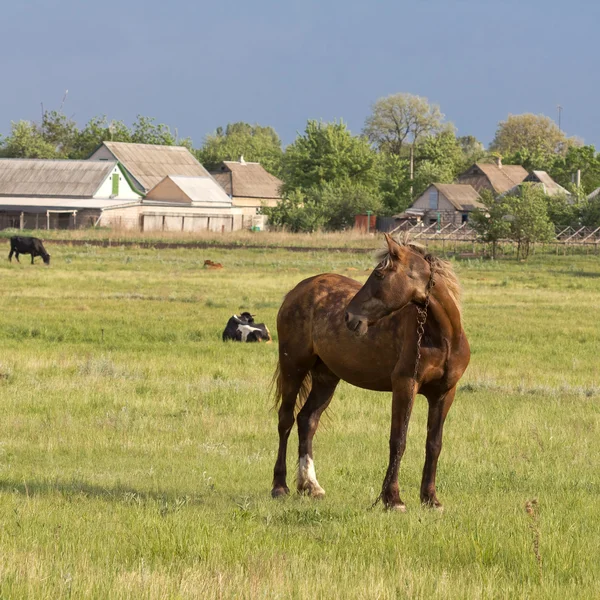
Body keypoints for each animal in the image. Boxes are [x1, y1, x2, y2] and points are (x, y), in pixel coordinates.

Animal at [270, 234, 468, 510]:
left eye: (379, 274)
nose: (349, 317)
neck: (443, 338)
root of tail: (298, 290)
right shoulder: (405, 386)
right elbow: (398, 441)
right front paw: (392, 498)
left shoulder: (444, 393)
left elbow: (434, 444)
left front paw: (430, 498)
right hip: (294, 368)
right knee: (285, 419)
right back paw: (280, 486)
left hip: (326, 377)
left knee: (307, 420)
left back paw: (311, 485)